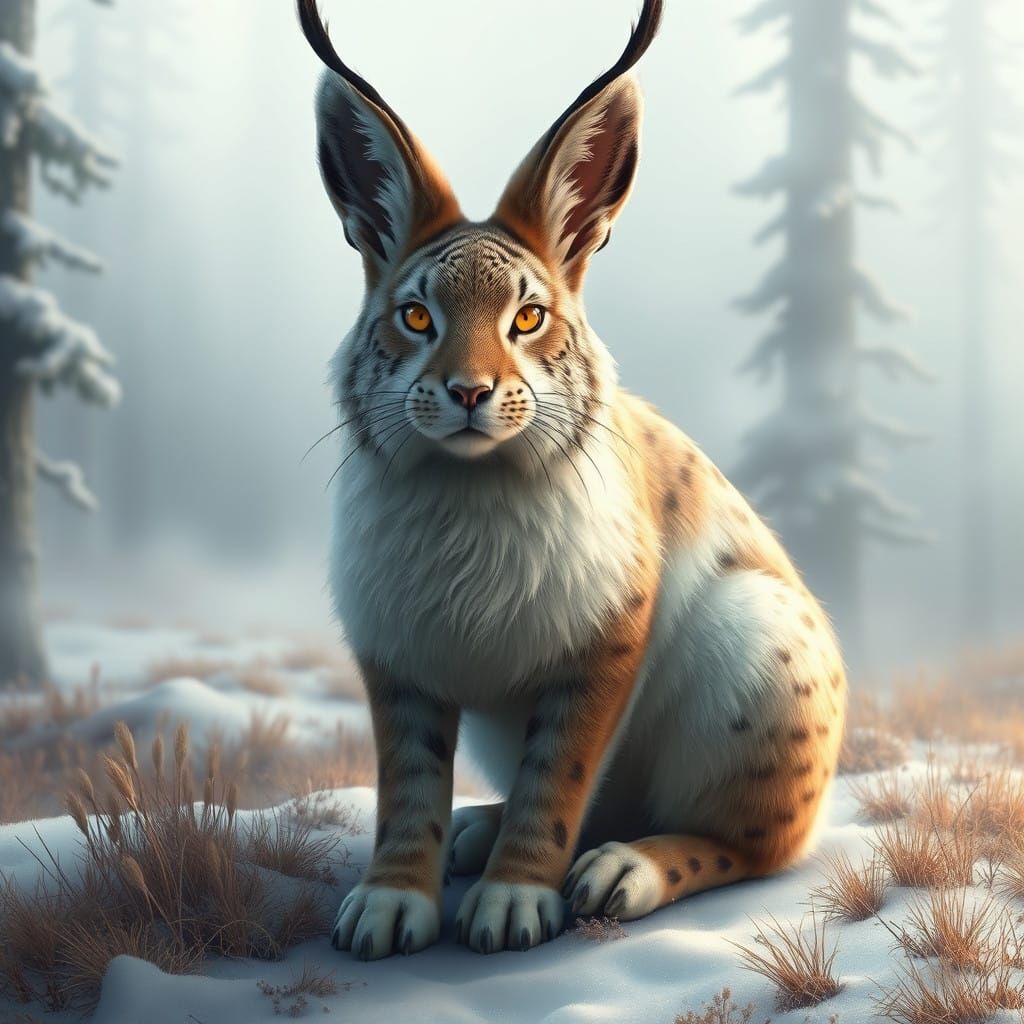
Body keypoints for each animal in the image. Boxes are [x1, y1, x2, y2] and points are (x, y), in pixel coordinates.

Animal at [297, 0, 846, 960]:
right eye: (415, 316)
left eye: (528, 318)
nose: (468, 392)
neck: (469, 487)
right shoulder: (396, 655)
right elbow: (406, 782)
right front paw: (391, 904)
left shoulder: (603, 645)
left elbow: (557, 779)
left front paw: (514, 901)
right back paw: (477, 830)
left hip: (754, 648)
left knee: (753, 842)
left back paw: (623, 871)